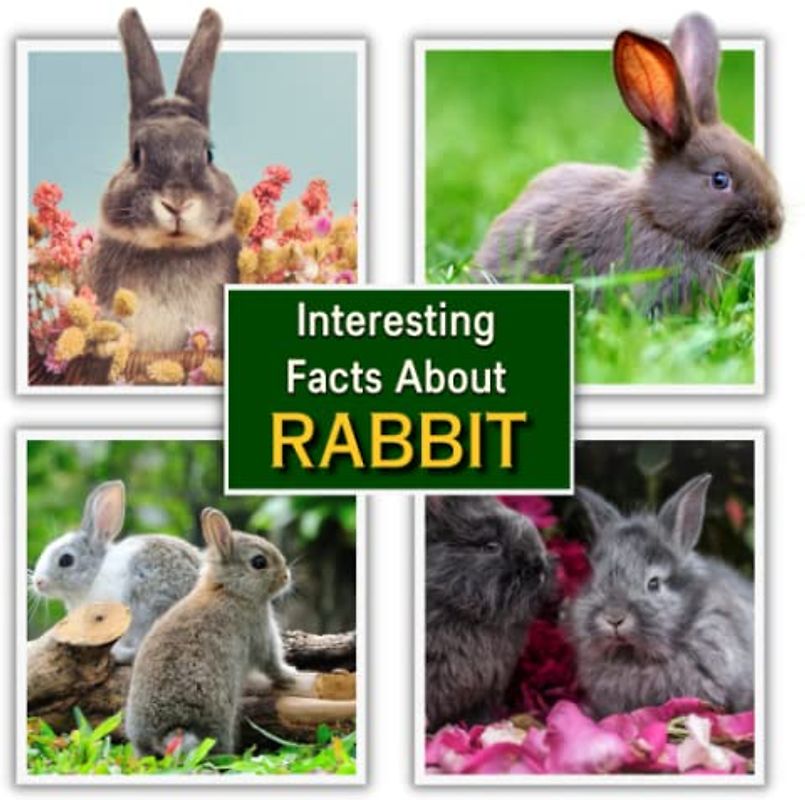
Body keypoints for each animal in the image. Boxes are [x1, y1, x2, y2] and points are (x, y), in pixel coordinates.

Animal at [125, 507, 297, 756]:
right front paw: (291, 675)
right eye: (259, 562)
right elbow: (271, 664)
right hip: (219, 716)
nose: (286, 577)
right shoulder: (260, 632)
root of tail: (168, 731)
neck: (228, 589)